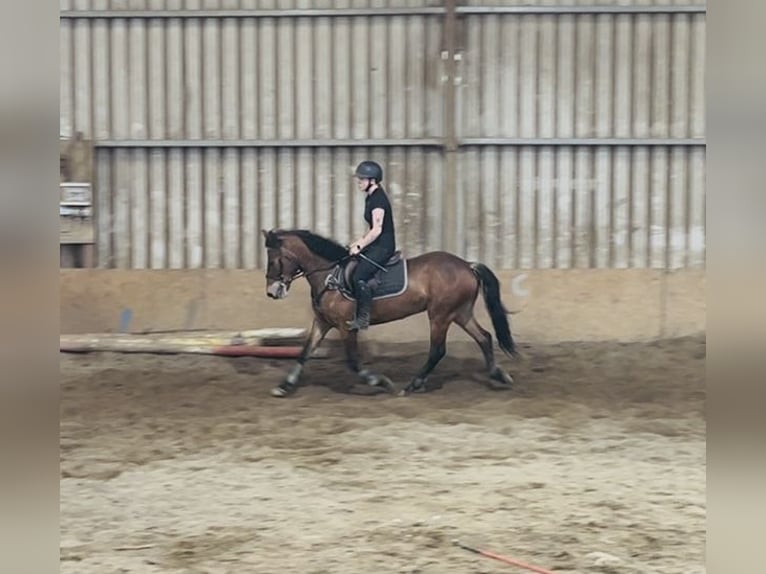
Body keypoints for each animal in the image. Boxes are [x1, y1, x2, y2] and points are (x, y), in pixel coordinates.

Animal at [261, 228, 518, 398]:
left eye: (274, 260)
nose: (272, 292)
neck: (329, 275)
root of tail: (467, 265)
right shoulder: (323, 322)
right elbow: (305, 352)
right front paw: (284, 386)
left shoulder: (346, 326)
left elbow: (353, 361)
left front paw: (380, 381)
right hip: (460, 313)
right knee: (484, 337)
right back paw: (498, 374)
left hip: (440, 315)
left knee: (438, 350)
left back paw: (413, 385)